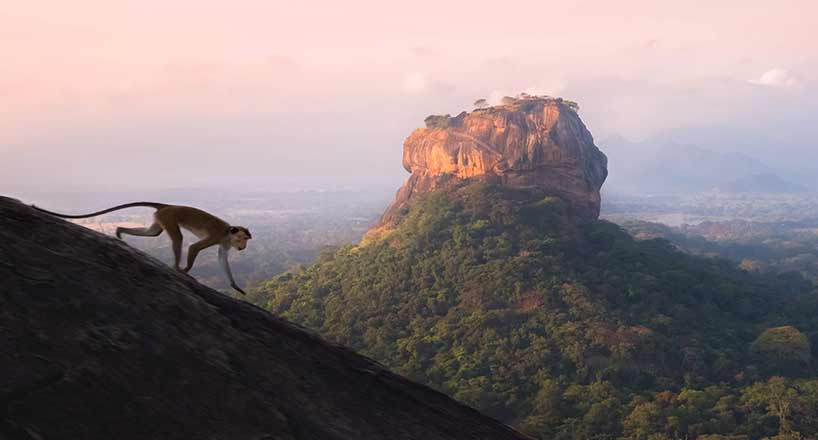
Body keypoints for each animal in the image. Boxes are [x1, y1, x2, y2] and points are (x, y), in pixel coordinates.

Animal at [31, 203, 252, 296]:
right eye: (242, 238)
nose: (243, 247)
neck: (228, 232)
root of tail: (168, 205)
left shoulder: (224, 243)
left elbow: (223, 259)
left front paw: (235, 286)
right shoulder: (216, 236)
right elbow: (194, 247)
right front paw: (185, 270)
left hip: (161, 218)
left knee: (153, 232)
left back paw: (119, 231)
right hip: (169, 217)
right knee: (178, 238)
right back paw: (175, 267)